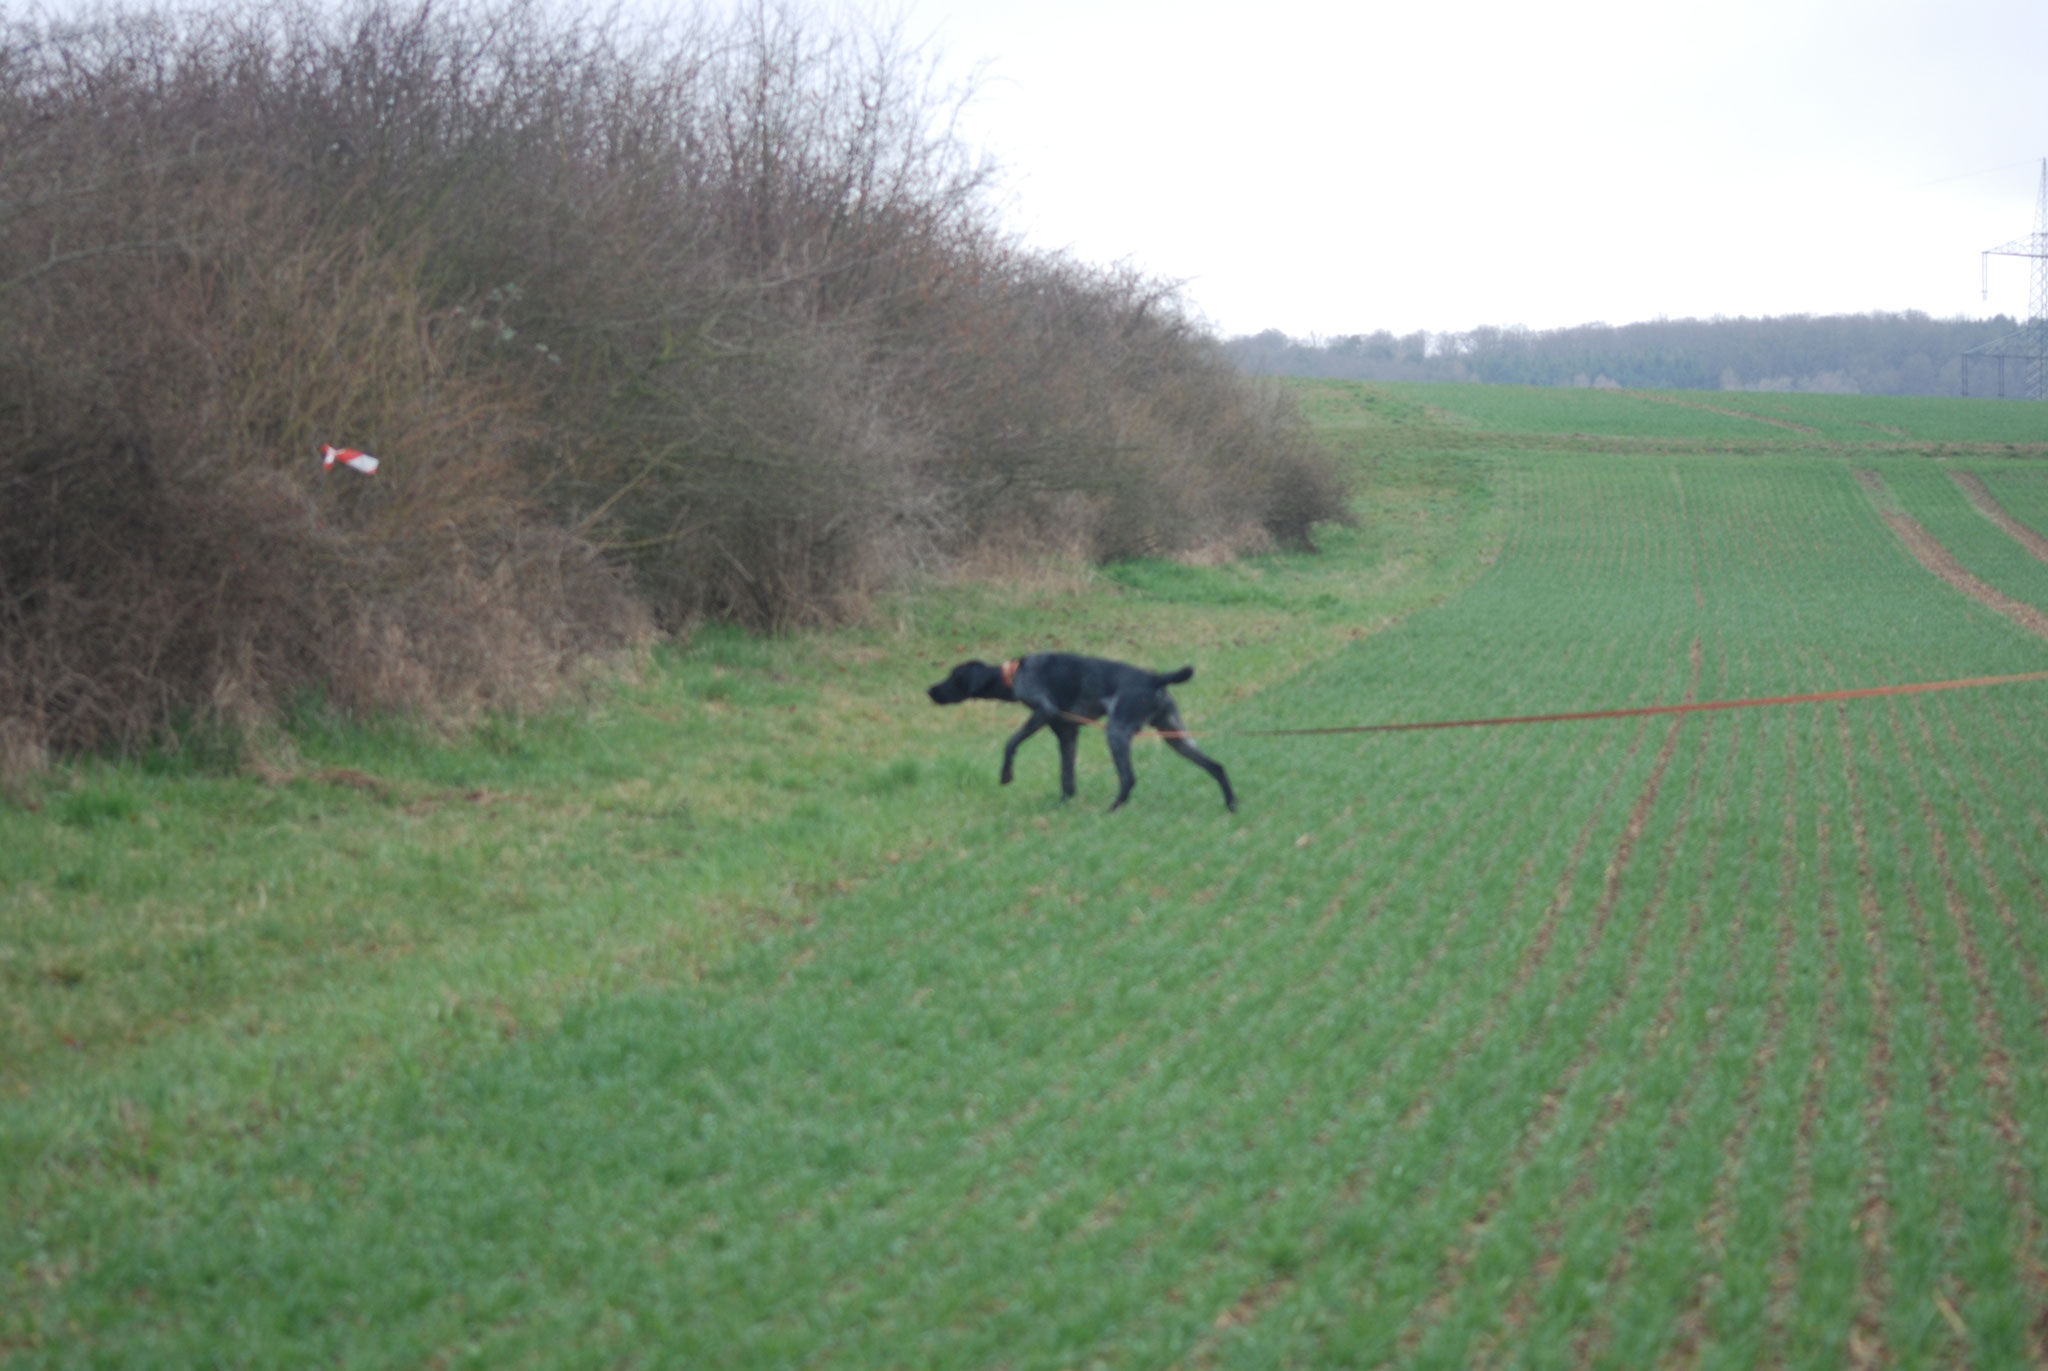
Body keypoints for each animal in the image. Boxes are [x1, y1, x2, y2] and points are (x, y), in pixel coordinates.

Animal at [925, 655, 1228, 811]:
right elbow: (1067, 777)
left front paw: (1006, 774)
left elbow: (1010, 743)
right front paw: (1063, 805)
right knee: (1217, 766)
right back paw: (1231, 804)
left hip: (1117, 732)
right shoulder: (1067, 733)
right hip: (1176, 737)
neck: (1013, 675)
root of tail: (1155, 678)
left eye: (953, 678)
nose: (929, 690)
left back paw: (1112, 810)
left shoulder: (1043, 710)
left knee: (1128, 779)